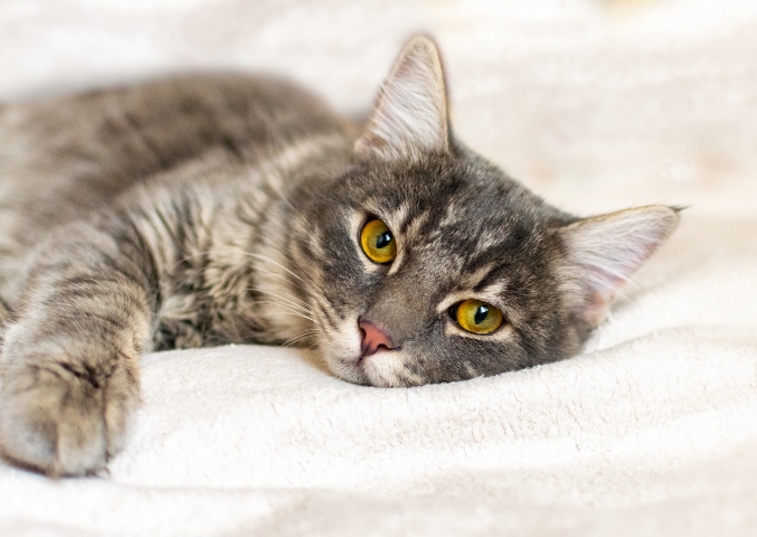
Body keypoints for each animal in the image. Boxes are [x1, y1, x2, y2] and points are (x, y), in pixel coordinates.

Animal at [0, 35, 676, 476]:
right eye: (380, 240)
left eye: (479, 317)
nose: (374, 334)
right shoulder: (124, 226)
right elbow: (90, 303)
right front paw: (66, 396)